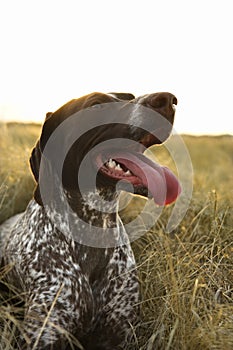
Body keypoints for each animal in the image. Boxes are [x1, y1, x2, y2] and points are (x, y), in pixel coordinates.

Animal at [0, 91, 180, 348]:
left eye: (130, 96)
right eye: (95, 105)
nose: (167, 99)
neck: (94, 227)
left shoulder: (119, 334)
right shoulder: (45, 333)